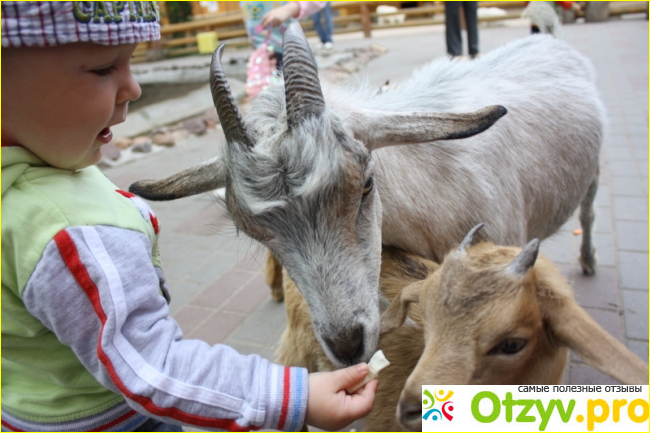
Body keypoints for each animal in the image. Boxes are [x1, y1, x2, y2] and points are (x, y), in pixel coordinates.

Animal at [130, 24, 604, 368]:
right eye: (253, 232)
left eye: (367, 185)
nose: (346, 345)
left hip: (595, 174)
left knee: (589, 212)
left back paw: (588, 261)